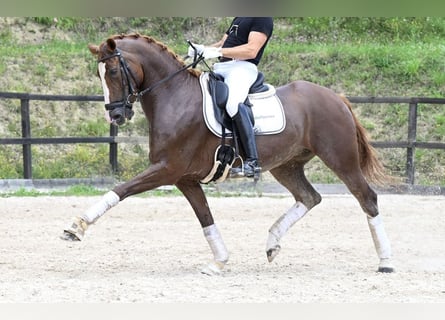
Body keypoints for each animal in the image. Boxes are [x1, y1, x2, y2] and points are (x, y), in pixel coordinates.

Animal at [60, 34, 394, 276]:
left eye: (114, 71)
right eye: (100, 74)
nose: (116, 115)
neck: (175, 97)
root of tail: (336, 97)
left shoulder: (167, 168)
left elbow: (120, 190)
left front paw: (76, 227)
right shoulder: (184, 178)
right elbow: (206, 218)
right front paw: (219, 261)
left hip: (340, 159)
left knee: (367, 198)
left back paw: (386, 262)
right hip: (287, 165)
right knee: (309, 197)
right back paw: (272, 243)